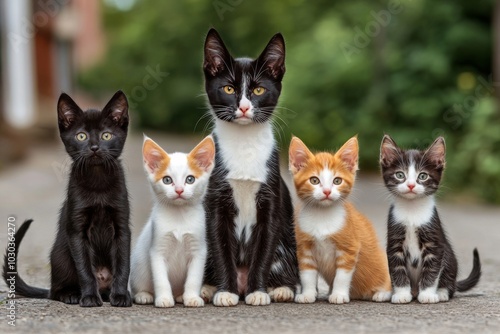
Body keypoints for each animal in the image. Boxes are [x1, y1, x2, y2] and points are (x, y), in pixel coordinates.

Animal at [2, 91, 132, 308]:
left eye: (106, 135)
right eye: (81, 136)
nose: (94, 147)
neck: (97, 180)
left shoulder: (122, 228)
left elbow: (123, 266)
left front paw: (121, 296)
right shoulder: (76, 230)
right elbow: (85, 269)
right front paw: (89, 298)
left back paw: (107, 294)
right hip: (60, 254)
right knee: (55, 290)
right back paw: (71, 295)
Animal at [129, 136, 215, 308]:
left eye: (190, 179)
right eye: (167, 180)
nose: (179, 190)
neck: (179, 217)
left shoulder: (198, 250)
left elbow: (194, 278)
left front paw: (192, 297)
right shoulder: (157, 250)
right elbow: (161, 278)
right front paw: (163, 298)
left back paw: (181, 296)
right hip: (138, 267)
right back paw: (144, 295)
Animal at [201, 28, 298, 306]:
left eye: (258, 90)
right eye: (228, 88)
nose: (244, 107)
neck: (243, 144)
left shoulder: (271, 201)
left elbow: (264, 248)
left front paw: (258, 291)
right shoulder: (215, 203)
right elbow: (220, 246)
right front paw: (226, 292)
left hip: (287, 245)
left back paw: (281, 288)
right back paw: (209, 288)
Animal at [290, 137, 390, 304]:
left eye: (337, 181)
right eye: (314, 180)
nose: (327, 191)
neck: (322, 216)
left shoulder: (349, 248)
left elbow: (341, 277)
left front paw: (338, 294)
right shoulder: (304, 248)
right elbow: (307, 275)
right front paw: (308, 294)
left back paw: (382, 293)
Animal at [380, 135, 482, 302]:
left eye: (423, 176)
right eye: (400, 175)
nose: (411, 185)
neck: (412, 211)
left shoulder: (435, 242)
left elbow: (432, 270)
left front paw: (428, 294)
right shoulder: (394, 242)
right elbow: (397, 269)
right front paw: (401, 294)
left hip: (450, 258)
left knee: (450, 285)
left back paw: (441, 292)